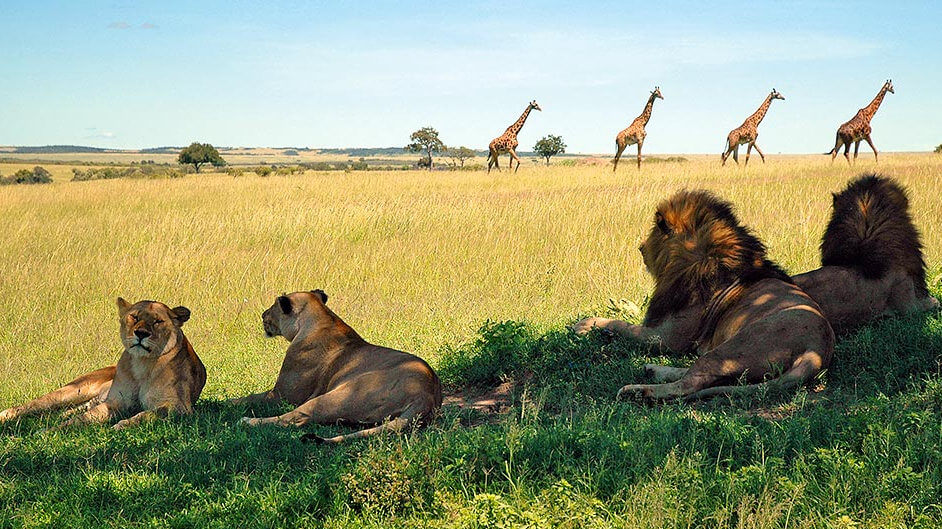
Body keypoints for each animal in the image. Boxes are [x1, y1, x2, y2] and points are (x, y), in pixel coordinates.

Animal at [0, 298, 205, 429]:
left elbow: (146, 415)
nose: (141, 334)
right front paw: (51, 431)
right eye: (135, 317)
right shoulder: (115, 402)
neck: (142, 365)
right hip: (72, 390)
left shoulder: (178, 406)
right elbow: (82, 419)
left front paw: (120, 425)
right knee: (32, 406)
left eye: (158, 321)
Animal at [235, 290, 442, 443]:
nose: (262, 314)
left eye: (273, 307)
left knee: (295, 419)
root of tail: (426, 394)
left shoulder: (282, 395)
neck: (322, 319)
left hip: (337, 396)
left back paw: (248, 421)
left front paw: (228, 402)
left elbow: (248, 398)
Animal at [573, 190, 834, 400]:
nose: (640, 247)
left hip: (735, 347)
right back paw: (653, 370)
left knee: (689, 383)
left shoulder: (667, 338)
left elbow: (624, 325)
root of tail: (816, 350)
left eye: (653, 232)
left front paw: (585, 324)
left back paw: (638, 390)